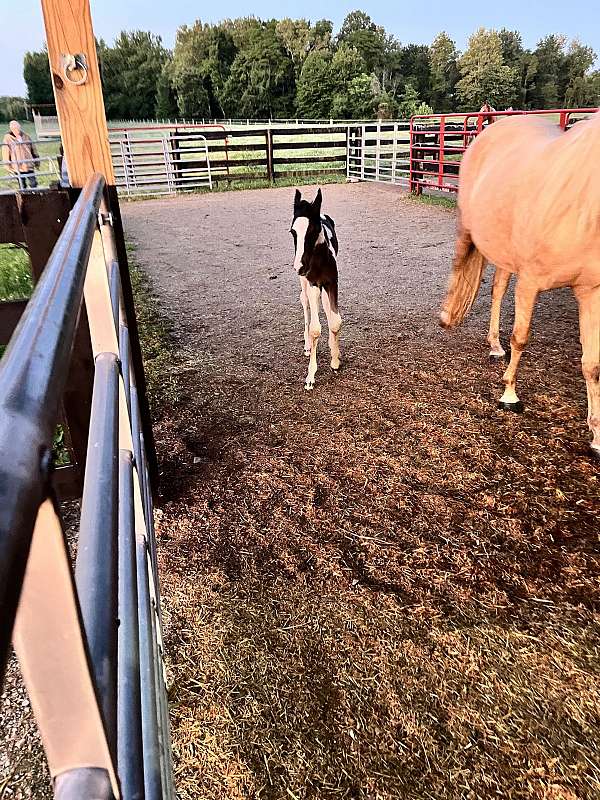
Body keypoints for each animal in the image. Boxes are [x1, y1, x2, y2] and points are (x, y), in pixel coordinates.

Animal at [290, 188, 342, 390]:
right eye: (293, 232)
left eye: (313, 230)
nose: (299, 266)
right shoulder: (313, 284)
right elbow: (315, 329)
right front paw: (310, 376)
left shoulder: (332, 282)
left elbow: (335, 321)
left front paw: (335, 359)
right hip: (304, 283)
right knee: (304, 301)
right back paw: (307, 345)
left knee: (326, 307)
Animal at [440, 111, 600, 456]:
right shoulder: (530, 281)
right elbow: (521, 337)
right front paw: (509, 394)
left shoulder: (592, 293)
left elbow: (593, 363)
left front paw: (596, 435)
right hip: (470, 230)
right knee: (465, 269)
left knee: (497, 289)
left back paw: (494, 345)